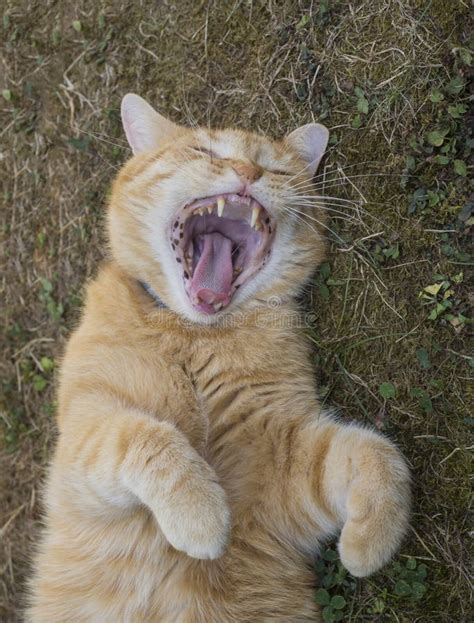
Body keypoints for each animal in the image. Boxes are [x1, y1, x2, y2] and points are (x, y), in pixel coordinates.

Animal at [26, 95, 412, 620]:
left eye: (274, 167)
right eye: (203, 150)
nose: (248, 170)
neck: (194, 337)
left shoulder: (284, 461)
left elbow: (377, 453)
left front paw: (367, 546)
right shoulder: (85, 438)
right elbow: (148, 436)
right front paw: (202, 517)